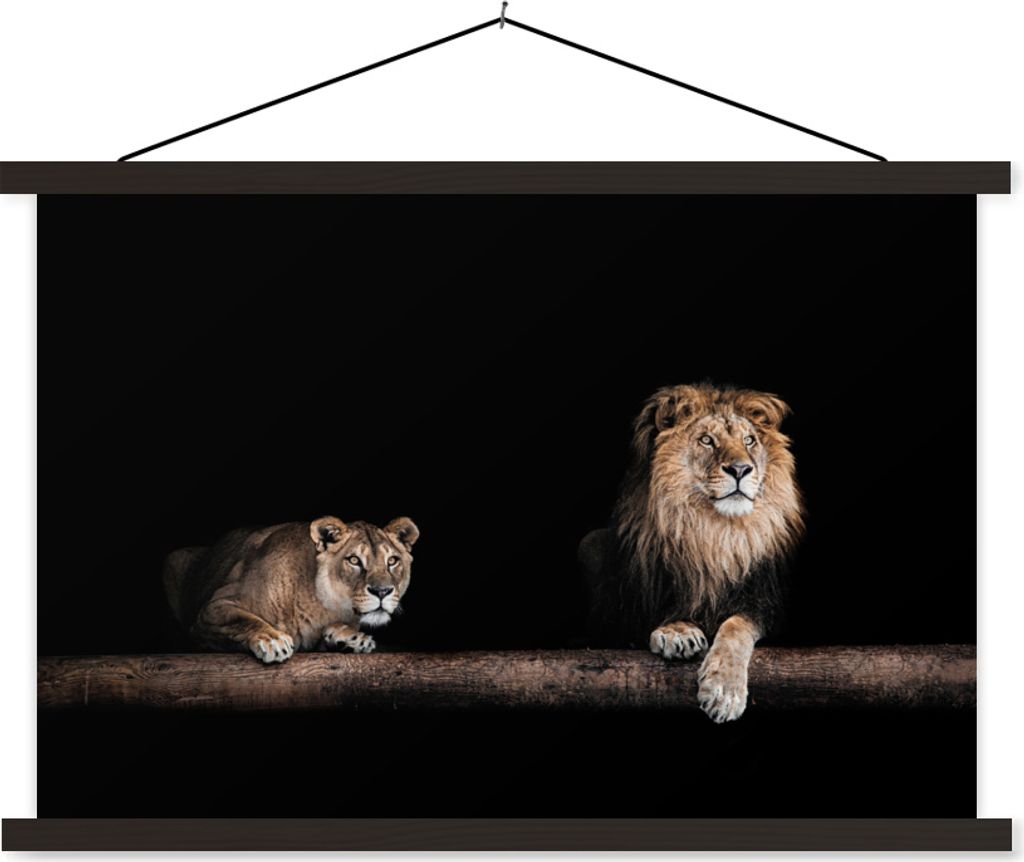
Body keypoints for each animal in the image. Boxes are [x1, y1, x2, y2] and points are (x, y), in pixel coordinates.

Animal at [162, 516, 419, 663]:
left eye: (392, 561)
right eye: (354, 560)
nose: (382, 592)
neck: (322, 605)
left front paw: (352, 639)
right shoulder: (213, 608)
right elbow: (244, 619)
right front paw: (272, 640)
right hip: (174, 559)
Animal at [581, 383, 804, 722]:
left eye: (749, 441)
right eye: (706, 440)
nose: (741, 469)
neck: (711, 532)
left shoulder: (765, 602)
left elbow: (736, 626)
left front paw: (724, 693)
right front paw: (678, 632)